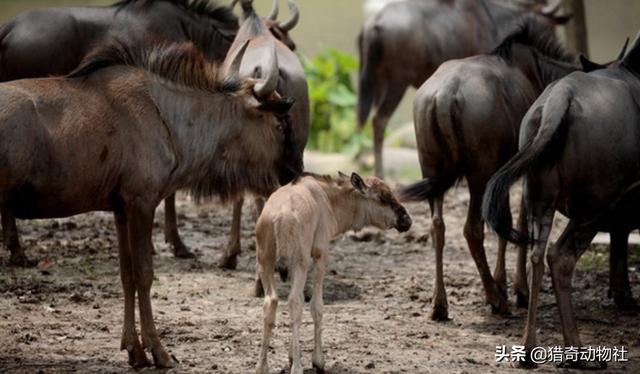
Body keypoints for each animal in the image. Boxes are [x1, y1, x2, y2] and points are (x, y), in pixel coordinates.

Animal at [254, 172, 410, 374]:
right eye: (383, 197)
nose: (407, 220)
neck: (327, 198)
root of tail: (280, 216)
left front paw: (291, 356)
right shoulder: (320, 254)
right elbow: (316, 306)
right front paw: (317, 361)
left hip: (265, 262)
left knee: (271, 301)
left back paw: (262, 366)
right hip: (299, 262)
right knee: (294, 302)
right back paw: (297, 368)